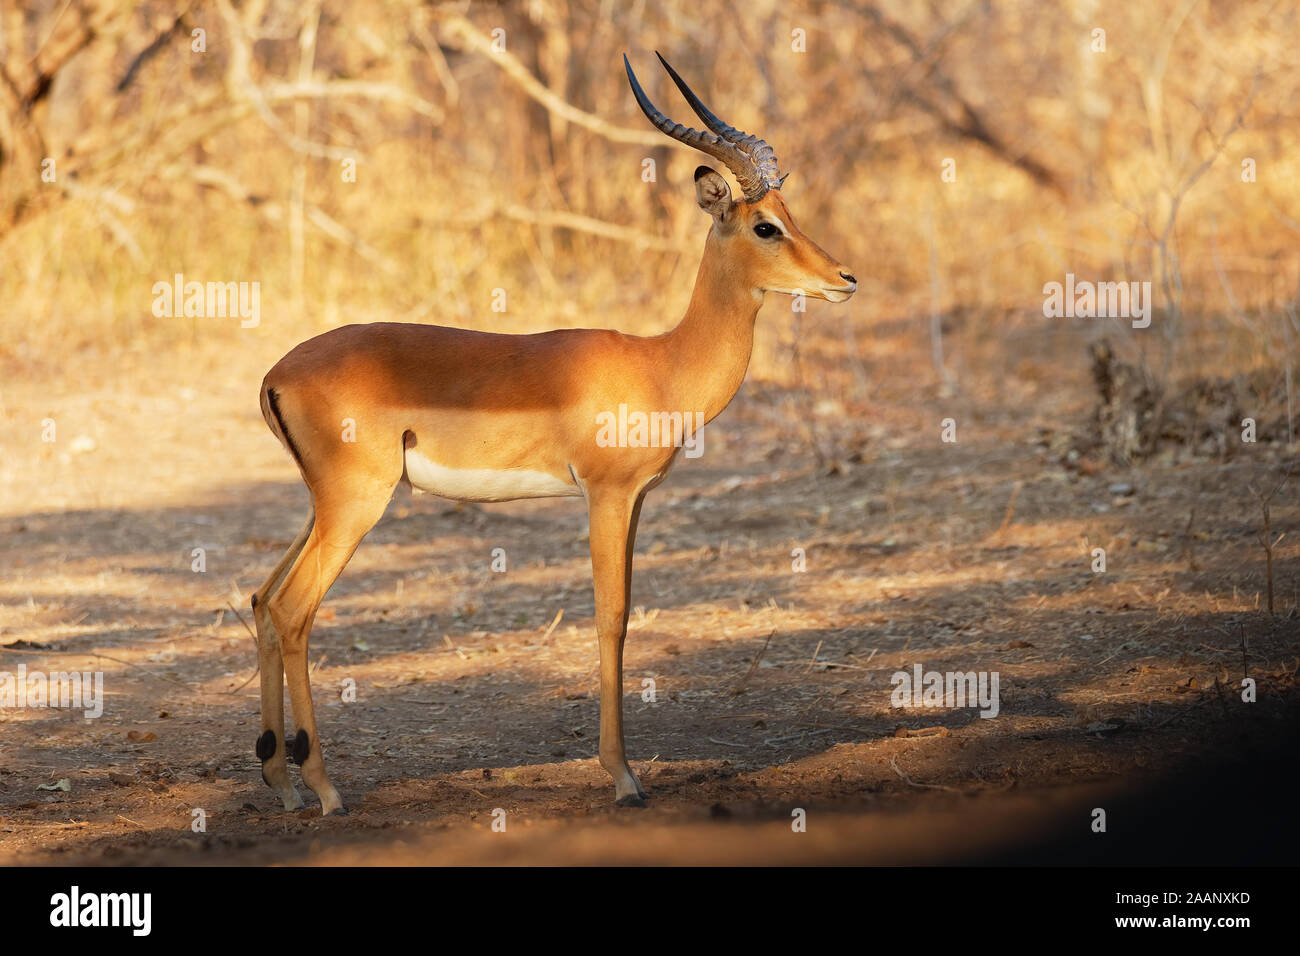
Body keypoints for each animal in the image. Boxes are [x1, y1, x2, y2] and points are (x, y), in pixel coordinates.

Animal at [248, 52, 857, 816]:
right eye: (765, 226)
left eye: (790, 214)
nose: (845, 277)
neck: (662, 365)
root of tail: (277, 372)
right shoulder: (606, 494)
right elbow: (612, 616)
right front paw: (623, 777)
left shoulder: (637, 500)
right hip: (357, 504)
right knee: (293, 610)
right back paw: (326, 789)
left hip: (324, 506)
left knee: (262, 598)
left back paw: (282, 782)